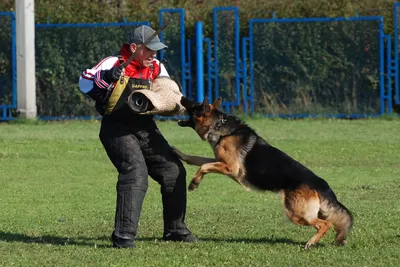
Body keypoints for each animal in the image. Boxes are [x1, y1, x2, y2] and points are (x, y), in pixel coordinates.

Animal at [173, 96, 354, 249]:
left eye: (195, 105)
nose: (182, 97)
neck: (219, 126)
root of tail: (322, 186)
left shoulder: (231, 167)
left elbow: (203, 166)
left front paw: (194, 183)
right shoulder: (218, 161)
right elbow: (197, 159)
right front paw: (178, 153)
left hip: (296, 213)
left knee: (325, 224)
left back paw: (311, 242)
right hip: (313, 212)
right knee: (331, 221)